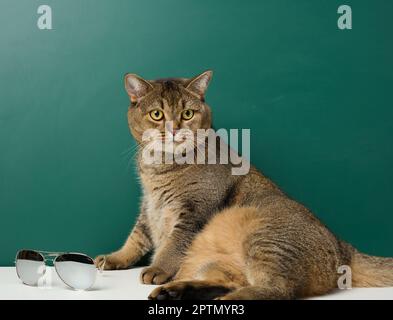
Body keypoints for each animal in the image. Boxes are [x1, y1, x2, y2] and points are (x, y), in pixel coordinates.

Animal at [95, 70, 392, 300]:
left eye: (188, 113)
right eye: (157, 114)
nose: (174, 129)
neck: (160, 166)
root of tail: (344, 248)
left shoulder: (193, 211)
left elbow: (173, 244)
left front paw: (158, 269)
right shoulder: (149, 205)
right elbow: (137, 237)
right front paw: (115, 258)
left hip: (264, 237)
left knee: (276, 290)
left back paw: (216, 298)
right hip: (225, 262)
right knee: (234, 282)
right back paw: (177, 291)